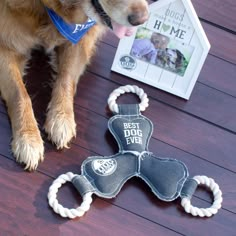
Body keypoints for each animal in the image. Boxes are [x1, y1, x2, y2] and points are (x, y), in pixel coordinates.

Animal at [0, 0, 148, 170]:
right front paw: (28, 138)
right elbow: (20, 94)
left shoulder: (81, 38)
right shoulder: (5, 46)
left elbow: (66, 77)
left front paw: (61, 118)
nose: (142, 20)